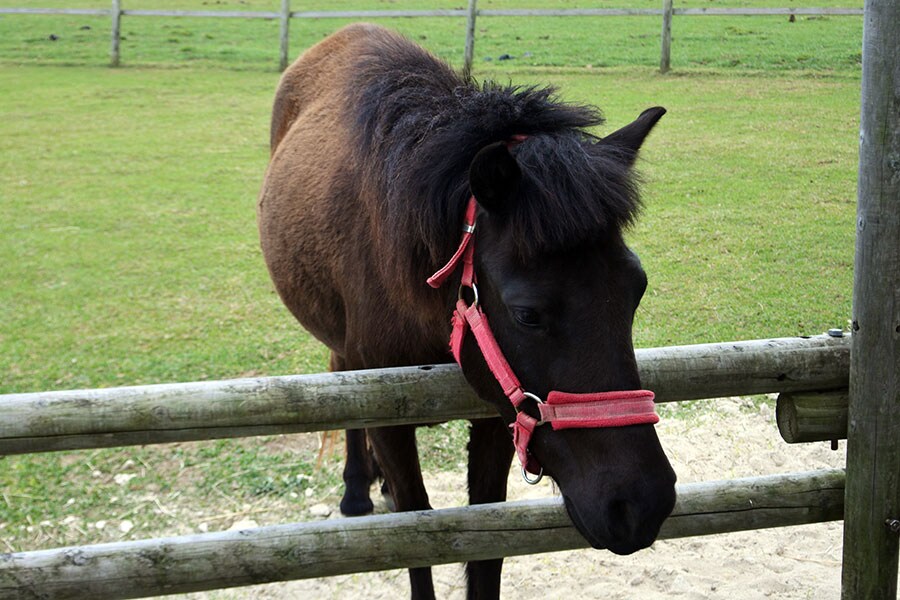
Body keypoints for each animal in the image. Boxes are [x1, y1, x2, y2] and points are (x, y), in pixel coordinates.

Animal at [258, 23, 676, 600]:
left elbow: (485, 546)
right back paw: (357, 489)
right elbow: (417, 535)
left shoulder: (500, 413)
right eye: (527, 314)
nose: (640, 503)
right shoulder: (391, 414)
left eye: (636, 289)